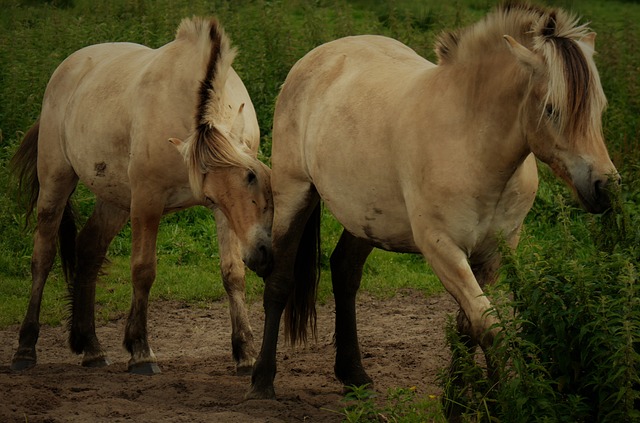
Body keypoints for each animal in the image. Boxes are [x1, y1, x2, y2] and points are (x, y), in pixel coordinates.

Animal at [11, 16, 272, 376]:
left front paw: (245, 353)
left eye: (253, 176)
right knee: (43, 257)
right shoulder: (148, 201)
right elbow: (143, 270)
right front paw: (140, 351)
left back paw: (92, 348)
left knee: (89, 249)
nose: (262, 253)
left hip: (115, 199)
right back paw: (25, 349)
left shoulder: (223, 213)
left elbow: (232, 272)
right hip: (56, 183)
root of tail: (67, 68)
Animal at [248, 1, 616, 402]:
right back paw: (262, 380)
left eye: (600, 108)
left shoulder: (494, 253)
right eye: (551, 109)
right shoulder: (443, 248)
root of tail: (316, 57)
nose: (605, 186)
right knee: (279, 282)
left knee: (344, 272)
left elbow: (469, 326)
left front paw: (459, 399)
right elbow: (489, 328)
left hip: (365, 219)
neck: (470, 143)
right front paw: (498, 401)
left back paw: (354, 374)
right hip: (295, 195)